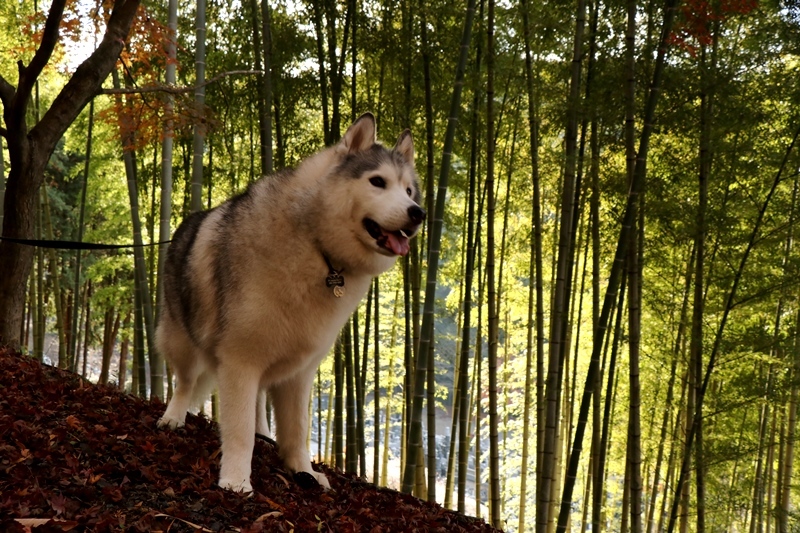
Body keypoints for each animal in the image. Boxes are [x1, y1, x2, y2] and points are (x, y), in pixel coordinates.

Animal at [152, 114, 422, 492]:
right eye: (378, 182)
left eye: (409, 190)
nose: (418, 213)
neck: (318, 248)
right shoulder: (240, 359)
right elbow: (238, 429)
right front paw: (236, 479)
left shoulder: (299, 371)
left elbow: (297, 430)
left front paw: (303, 471)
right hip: (183, 340)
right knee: (186, 382)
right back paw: (173, 417)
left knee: (257, 401)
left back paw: (264, 433)